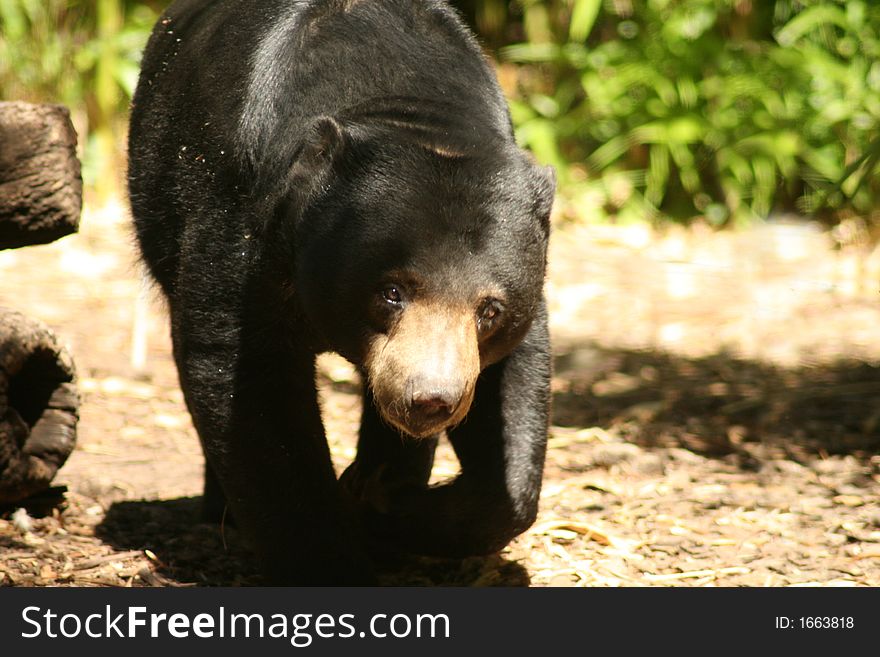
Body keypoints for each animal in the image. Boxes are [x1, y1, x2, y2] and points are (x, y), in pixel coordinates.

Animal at [127, 0, 552, 584]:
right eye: (391, 292)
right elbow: (246, 384)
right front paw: (334, 552)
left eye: (489, 310)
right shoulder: (244, 225)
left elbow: (512, 394)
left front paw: (387, 507)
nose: (431, 398)